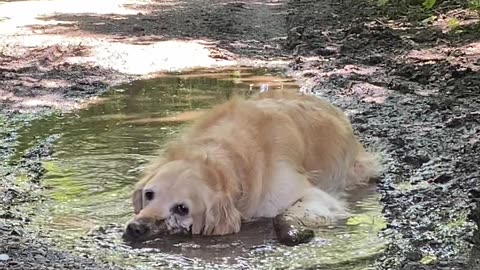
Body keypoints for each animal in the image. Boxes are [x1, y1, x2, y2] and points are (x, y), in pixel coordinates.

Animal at [124, 90, 382, 243]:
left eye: (182, 209)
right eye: (149, 194)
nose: (135, 228)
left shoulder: (318, 197)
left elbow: (281, 215)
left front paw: (294, 232)